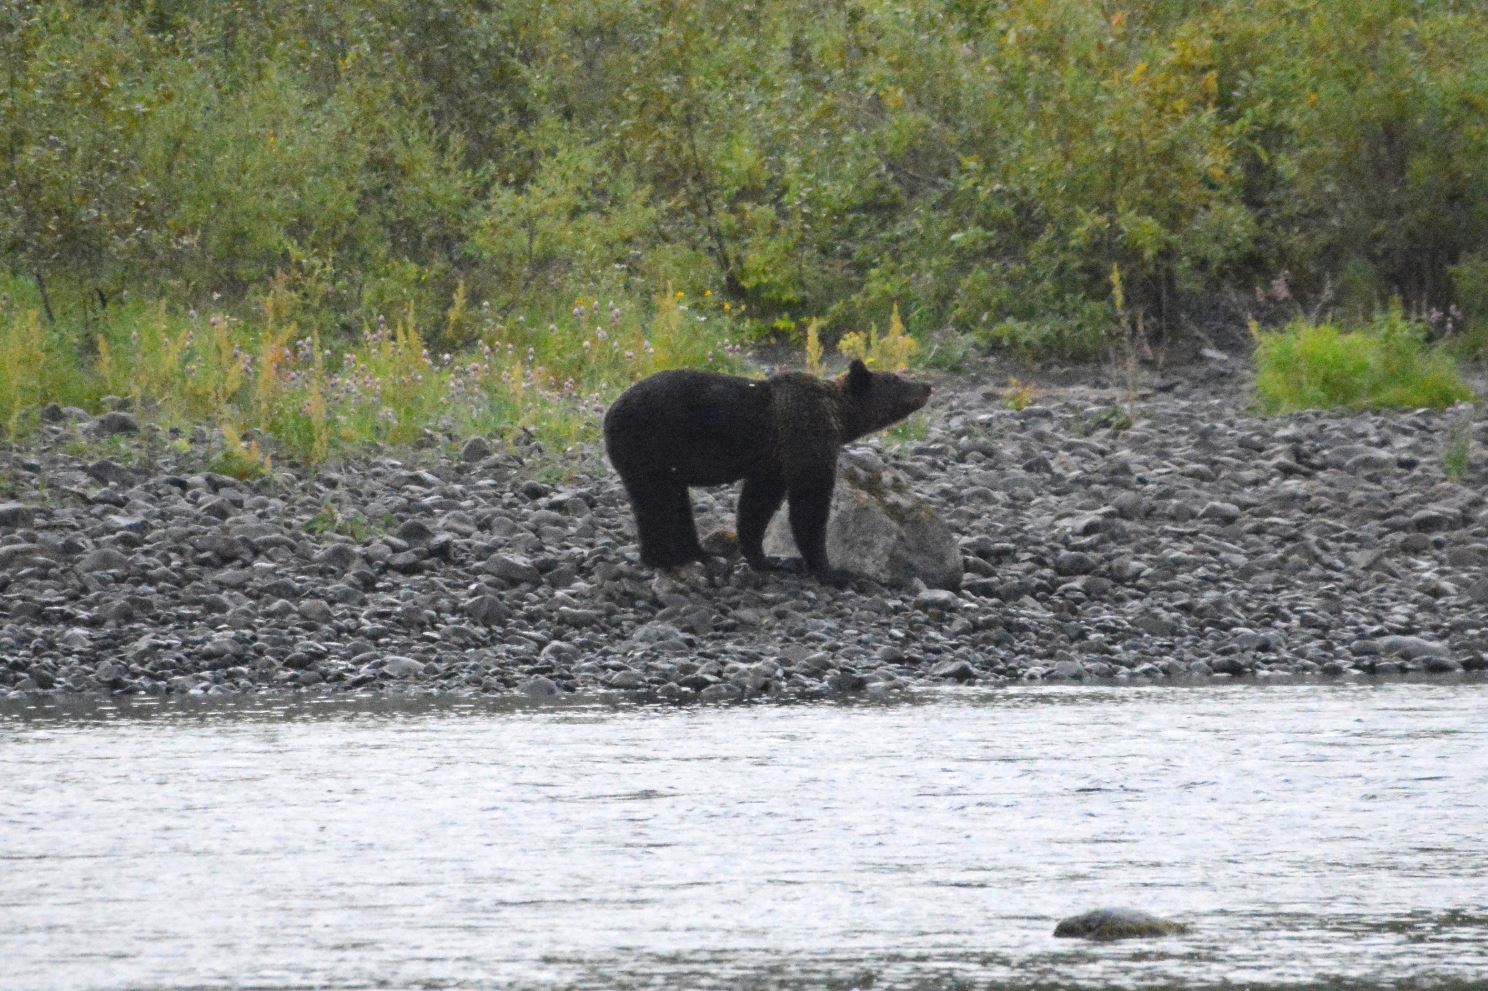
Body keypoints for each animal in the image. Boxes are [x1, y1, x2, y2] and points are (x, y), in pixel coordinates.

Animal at [603, 359, 932, 586]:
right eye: (896, 378)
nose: (927, 386)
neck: (838, 415)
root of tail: (608, 414)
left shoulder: (773, 461)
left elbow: (757, 505)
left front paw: (764, 558)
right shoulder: (805, 437)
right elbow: (809, 504)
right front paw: (831, 570)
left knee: (675, 503)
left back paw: (698, 553)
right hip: (648, 444)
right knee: (656, 503)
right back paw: (663, 557)